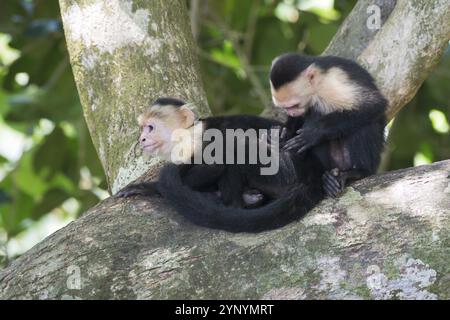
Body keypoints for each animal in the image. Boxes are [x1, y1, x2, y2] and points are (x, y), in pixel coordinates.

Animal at [118, 97, 326, 232]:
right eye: (142, 128)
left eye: (150, 127)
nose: (142, 139)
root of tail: (313, 171)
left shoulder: (192, 141)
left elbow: (215, 164)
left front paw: (151, 187)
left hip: (282, 170)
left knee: (235, 148)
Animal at [270, 52, 386, 198]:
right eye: (286, 108)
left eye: (294, 105)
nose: (291, 112)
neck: (317, 86)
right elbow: (300, 118)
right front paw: (285, 132)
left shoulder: (333, 83)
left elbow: (374, 104)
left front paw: (313, 134)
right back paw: (326, 179)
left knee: (364, 123)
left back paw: (358, 172)